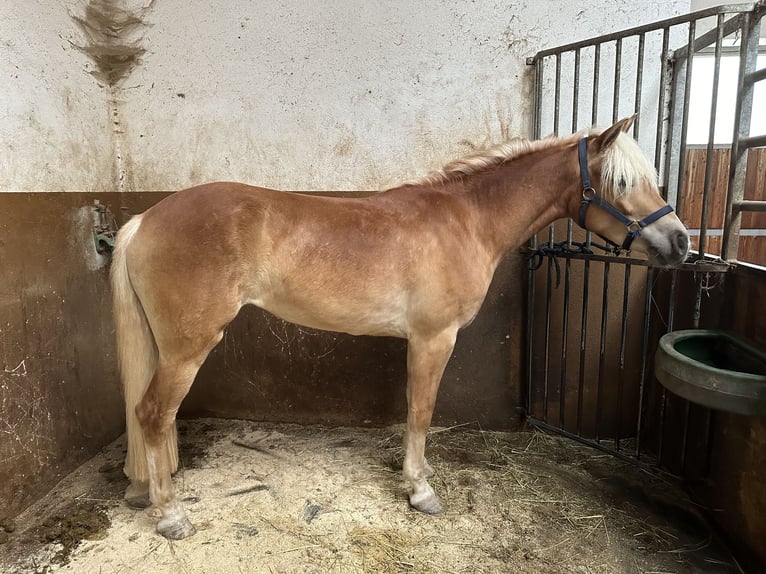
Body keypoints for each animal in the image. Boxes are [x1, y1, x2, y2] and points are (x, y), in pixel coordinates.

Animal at [108, 116, 688, 540]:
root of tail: (144, 220)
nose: (680, 243)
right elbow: (421, 411)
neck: (466, 220)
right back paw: (171, 516)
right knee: (153, 413)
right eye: (621, 182)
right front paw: (419, 491)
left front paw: (420, 476)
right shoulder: (433, 338)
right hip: (186, 348)